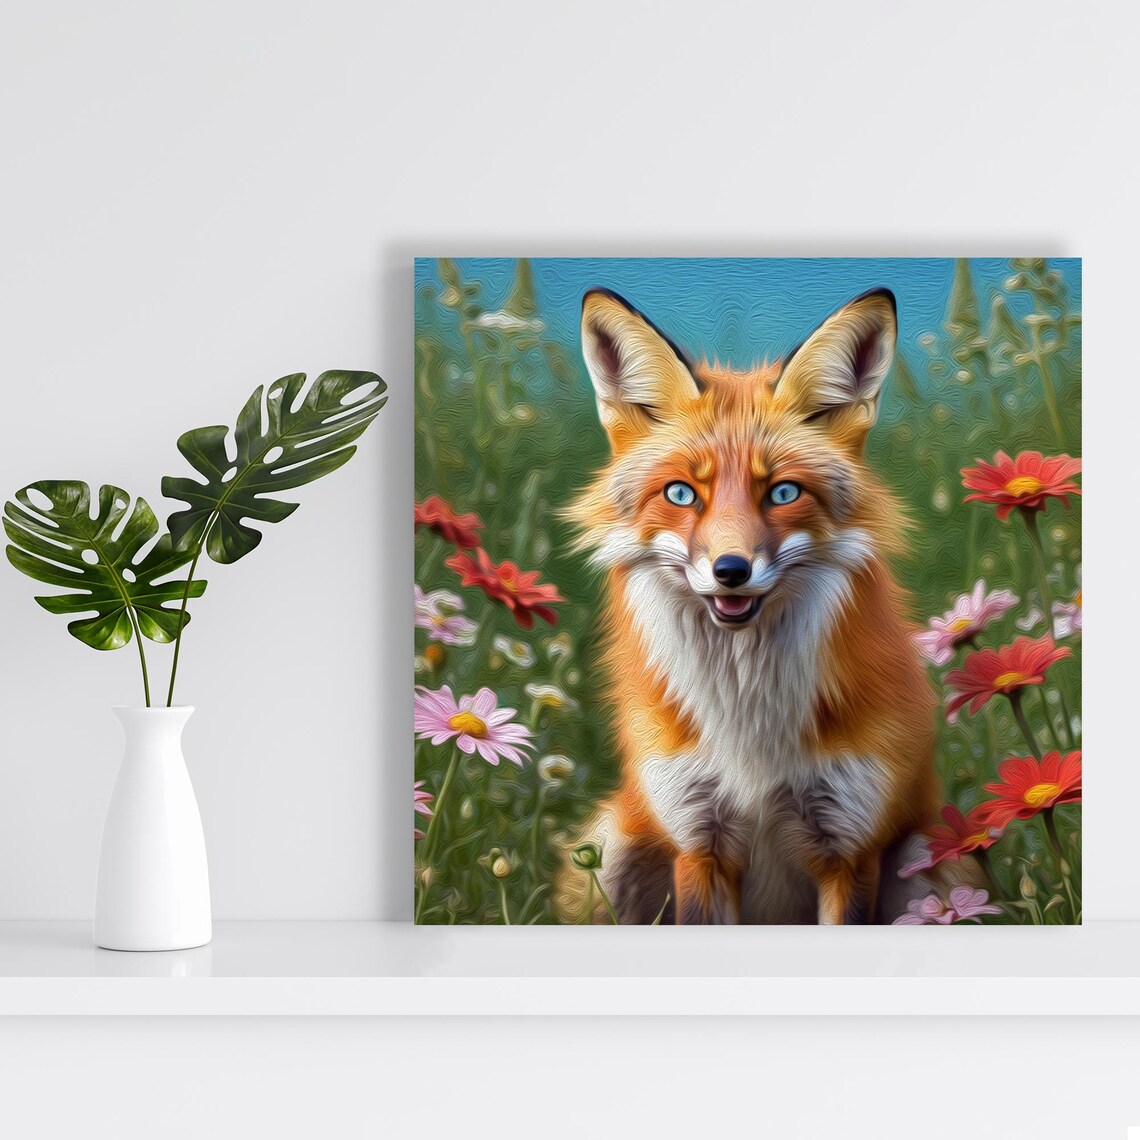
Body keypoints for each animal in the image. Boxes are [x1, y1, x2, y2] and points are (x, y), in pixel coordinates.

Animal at [562, 286, 954, 925]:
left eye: (783, 492)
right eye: (680, 494)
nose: (731, 571)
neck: (748, 726)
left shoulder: (849, 848)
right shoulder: (699, 843)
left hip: (933, 862)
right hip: (612, 852)